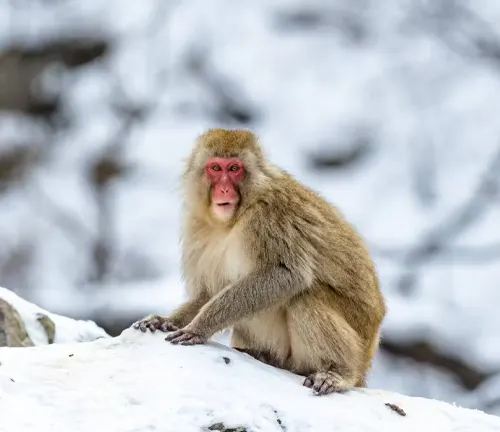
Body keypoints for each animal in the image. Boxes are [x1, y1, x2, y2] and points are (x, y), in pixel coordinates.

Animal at [134, 127, 386, 394]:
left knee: (306, 297)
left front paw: (199, 327)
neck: (233, 219)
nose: (224, 189)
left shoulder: (268, 217)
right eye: (216, 168)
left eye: (235, 168)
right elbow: (208, 292)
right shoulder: (197, 225)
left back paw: (338, 373)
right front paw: (166, 321)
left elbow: (285, 274)